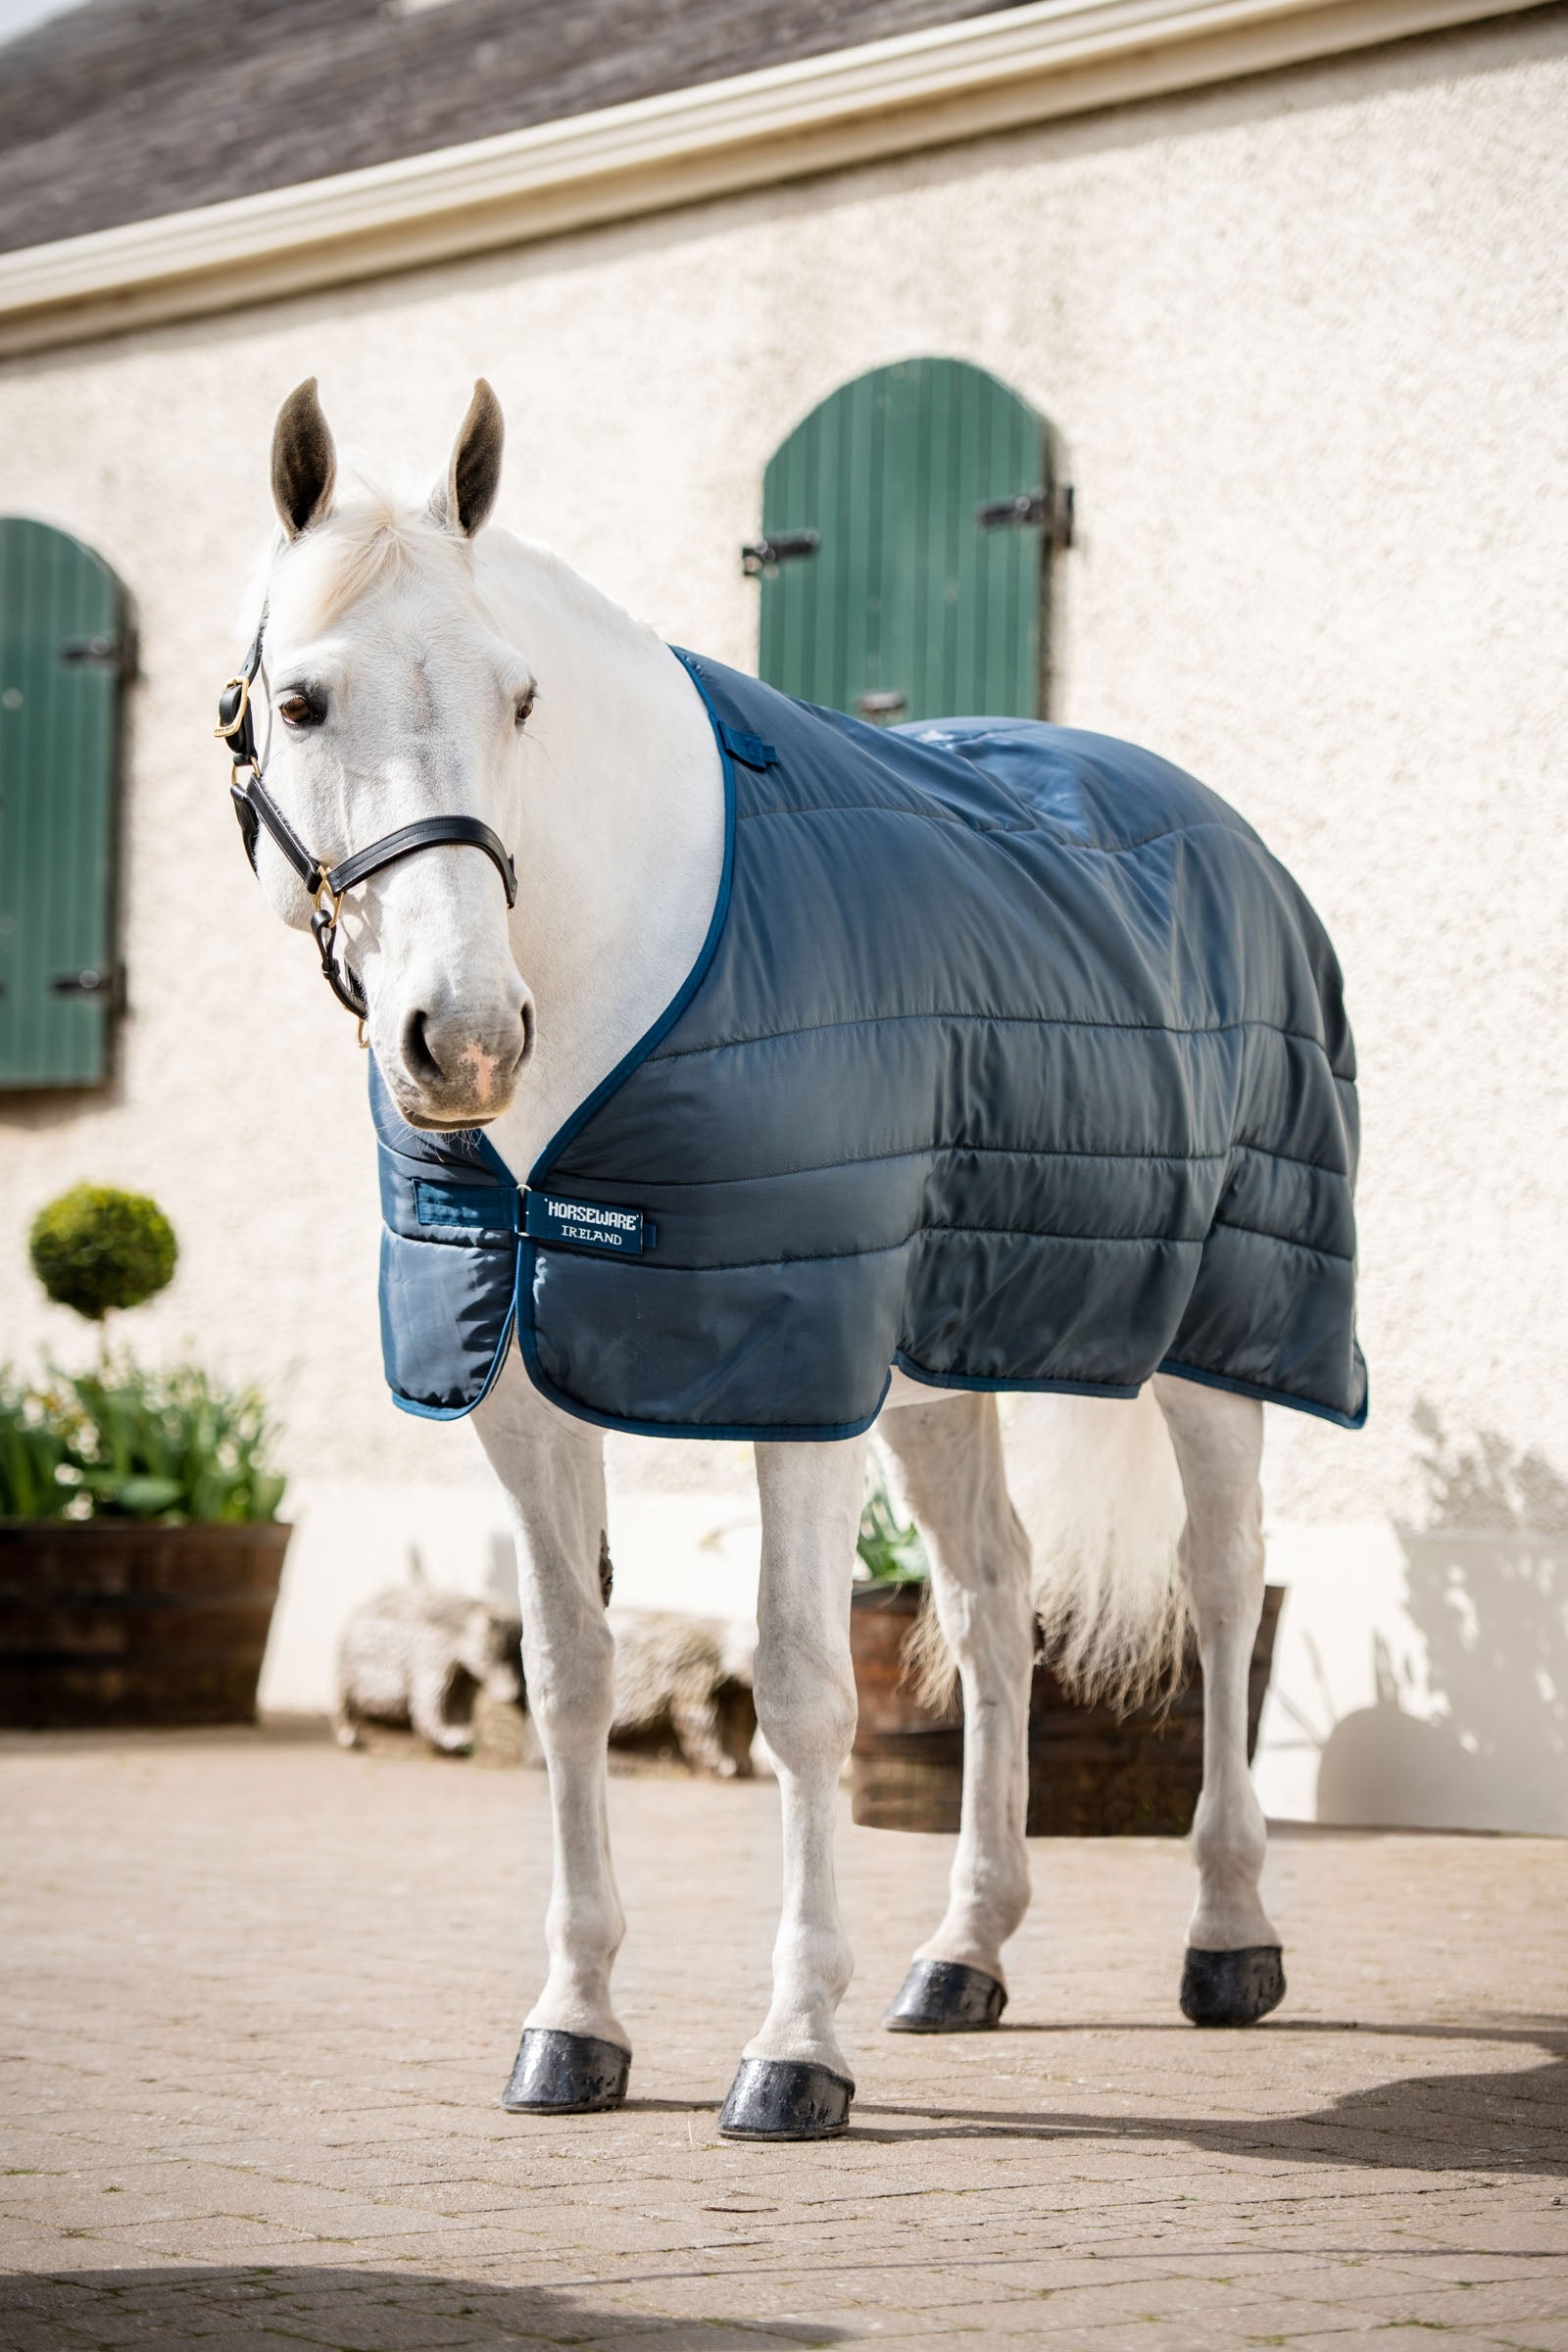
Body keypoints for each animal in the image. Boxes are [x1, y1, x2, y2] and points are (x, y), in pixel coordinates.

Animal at [223, 377, 1363, 2142]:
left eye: (521, 697)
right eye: (301, 700)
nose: (466, 1040)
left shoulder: (790, 1375)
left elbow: (806, 1690)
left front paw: (793, 2050)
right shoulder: (524, 1391)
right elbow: (565, 1684)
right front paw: (574, 2027)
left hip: (1214, 1339)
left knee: (1223, 1587)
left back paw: (1229, 1937)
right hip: (940, 1369)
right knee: (994, 1602)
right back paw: (964, 1954)